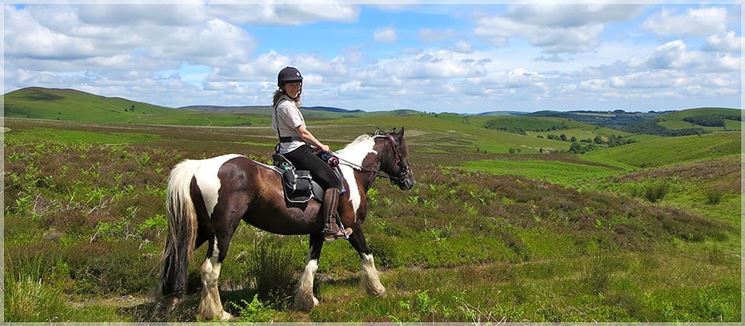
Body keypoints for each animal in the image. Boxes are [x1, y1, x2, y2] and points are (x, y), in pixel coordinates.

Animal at [157, 127, 416, 320]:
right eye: (402, 151)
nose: (409, 181)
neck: (352, 175)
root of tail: (198, 166)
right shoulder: (353, 228)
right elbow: (367, 256)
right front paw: (378, 289)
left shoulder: (318, 232)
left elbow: (312, 264)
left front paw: (307, 300)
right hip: (222, 232)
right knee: (210, 270)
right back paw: (219, 313)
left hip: (201, 230)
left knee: (175, 259)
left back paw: (171, 304)